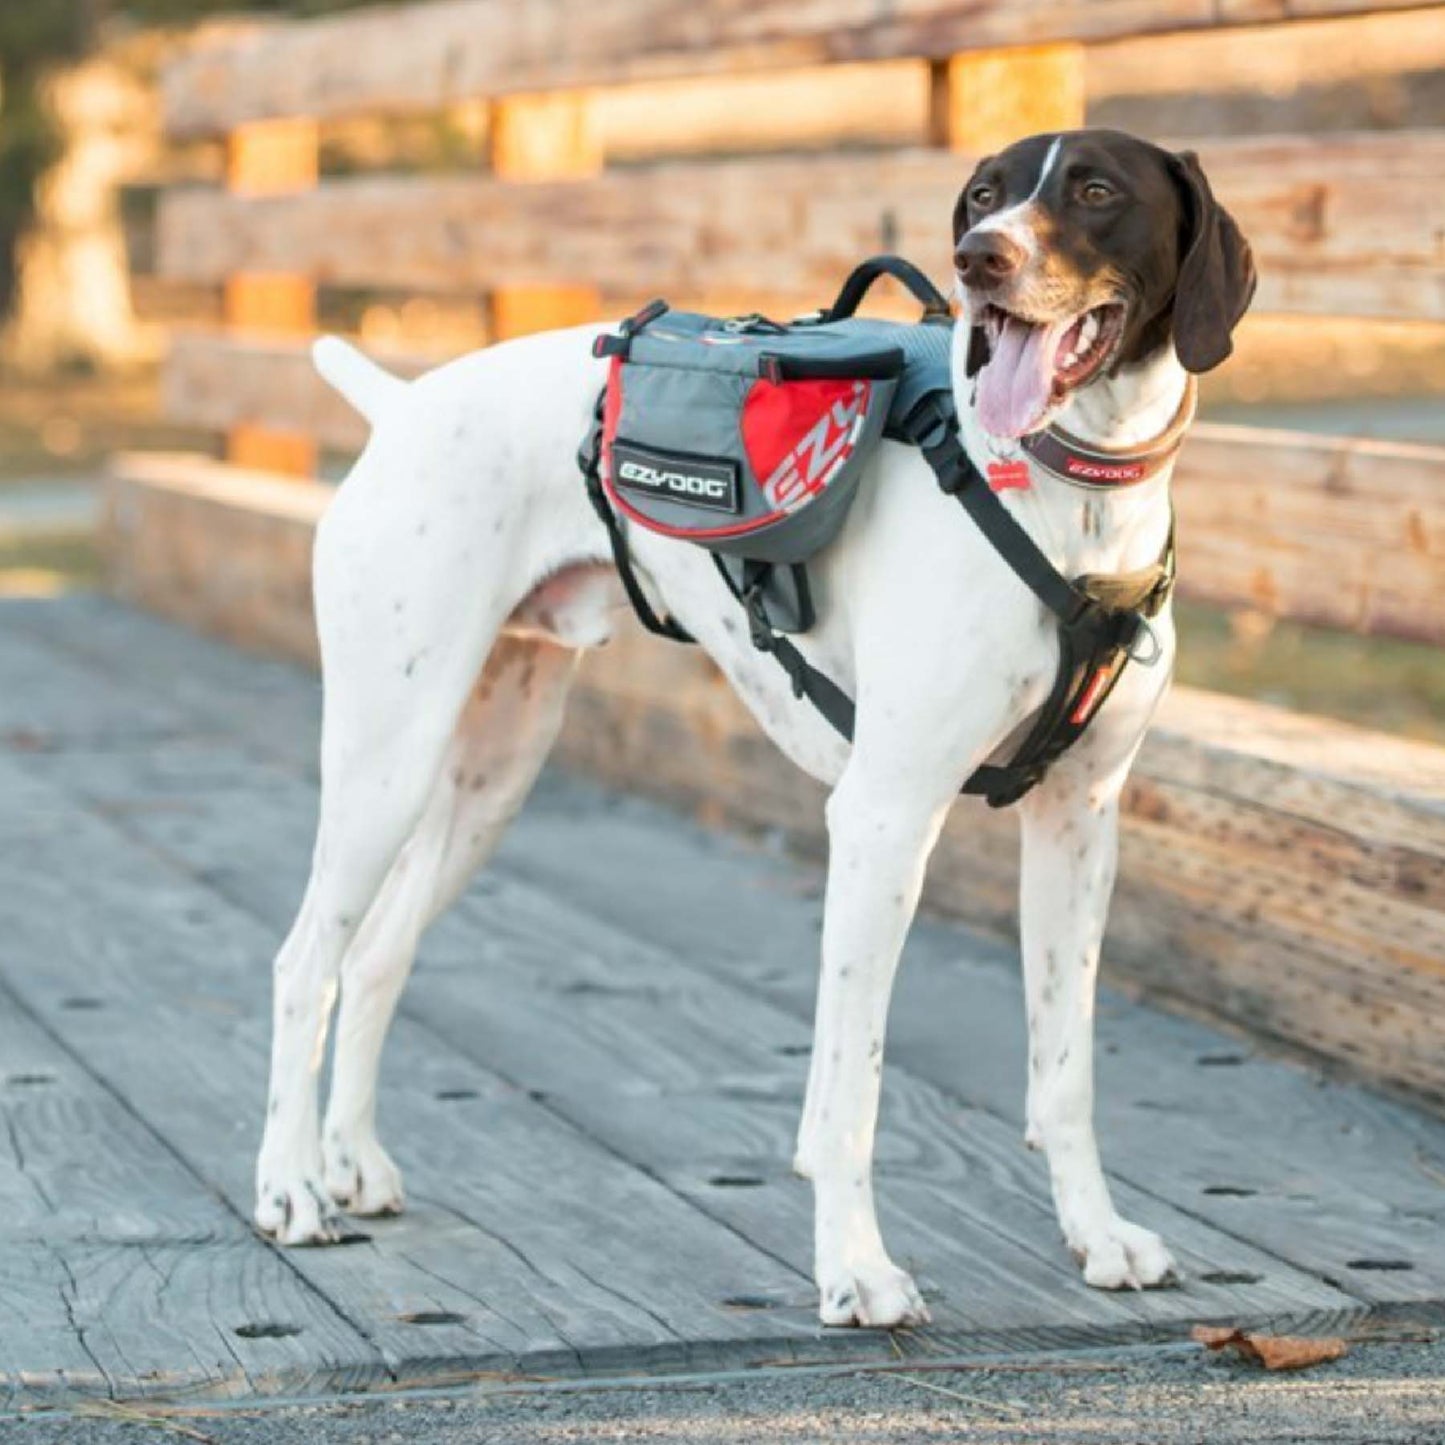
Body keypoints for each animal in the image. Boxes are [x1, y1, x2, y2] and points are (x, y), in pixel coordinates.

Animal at [257, 130, 1254, 1323]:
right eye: (981, 194)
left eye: (1096, 190)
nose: (978, 259)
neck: (1066, 496)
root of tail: (402, 407)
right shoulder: (881, 821)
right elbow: (850, 1088)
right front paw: (855, 1268)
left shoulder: (1077, 821)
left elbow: (1062, 1072)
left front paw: (1094, 1234)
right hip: (388, 758)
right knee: (305, 961)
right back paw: (289, 1187)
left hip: (490, 776)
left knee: (374, 957)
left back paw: (351, 1161)